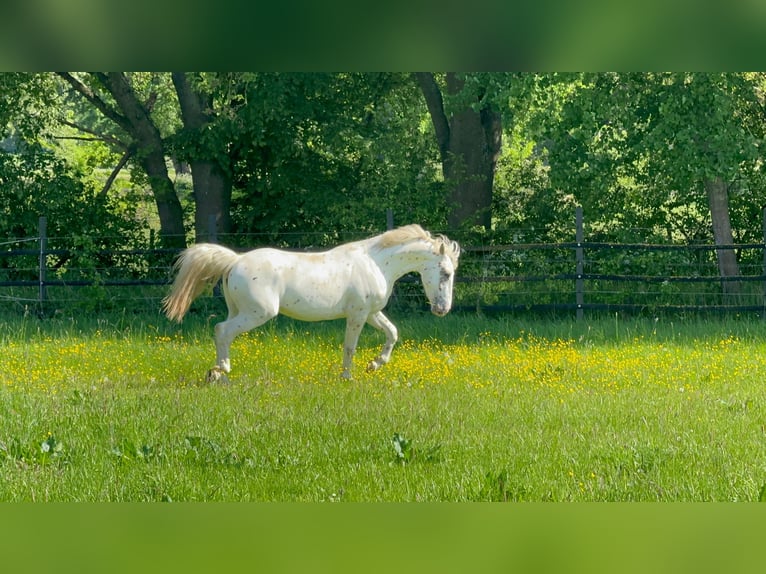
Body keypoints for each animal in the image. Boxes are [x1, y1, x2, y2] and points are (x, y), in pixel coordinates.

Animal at [162, 224, 461, 381]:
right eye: (446, 272)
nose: (442, 310)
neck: (375, 263)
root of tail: (235, 260)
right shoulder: (358, 314)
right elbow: (350, 346)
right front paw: (347, 377)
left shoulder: (372, 312)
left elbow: (393, 333)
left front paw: (375, 364)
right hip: (258, 313)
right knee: (222, 331)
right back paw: (219, 371)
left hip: (240, 310)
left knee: (222, 332)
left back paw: (218, 372)